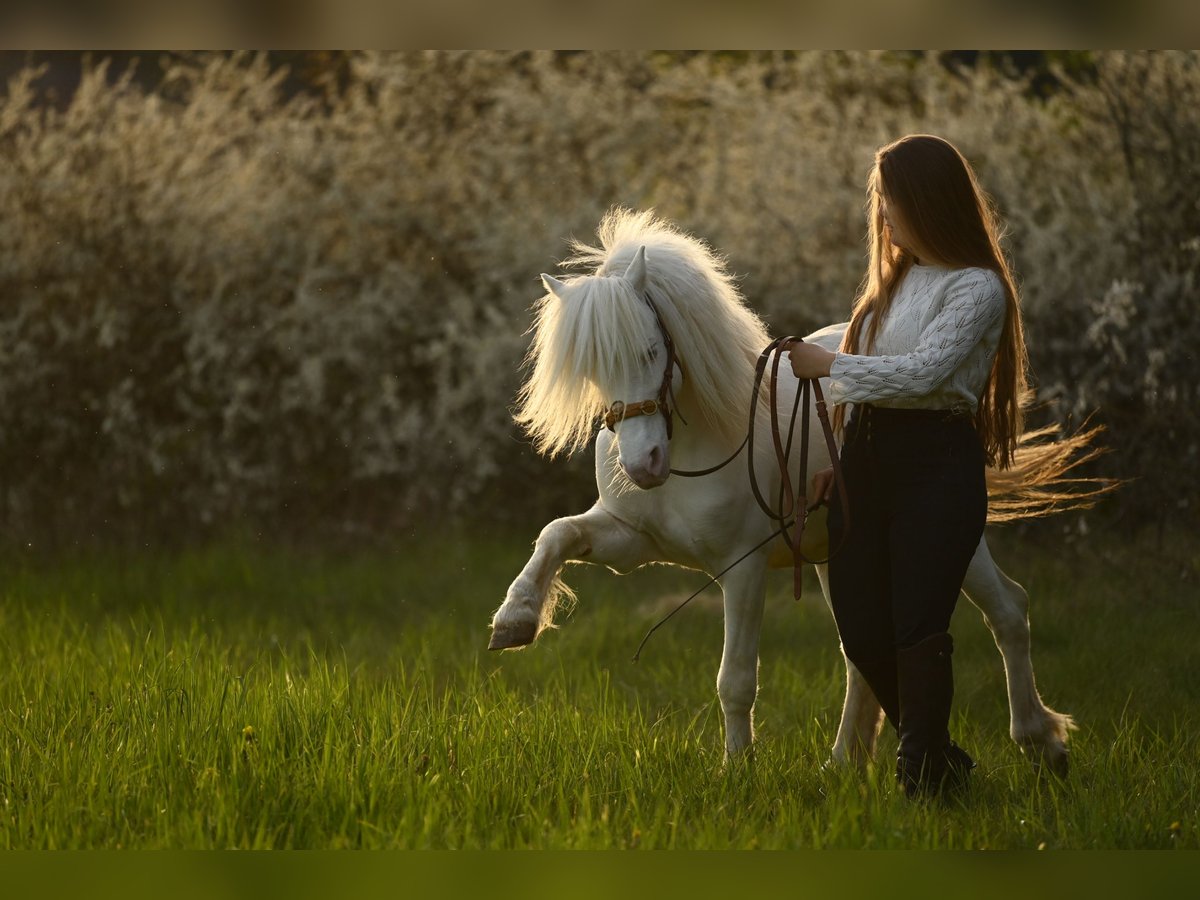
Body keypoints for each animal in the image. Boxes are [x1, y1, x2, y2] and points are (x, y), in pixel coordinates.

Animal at [492, 210, 1094, 777]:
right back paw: (845, 761)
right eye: (592, 369)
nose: (643, 465)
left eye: (649, 351)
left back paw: (1042, 742)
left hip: (949, 547)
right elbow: (556, 534)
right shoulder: (633, 542)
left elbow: (735, 679)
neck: (700, 443)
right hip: (836, 559)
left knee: (1008, 610)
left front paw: (737, 768)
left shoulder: (742, 568)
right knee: (861, 653)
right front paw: (515, 619)